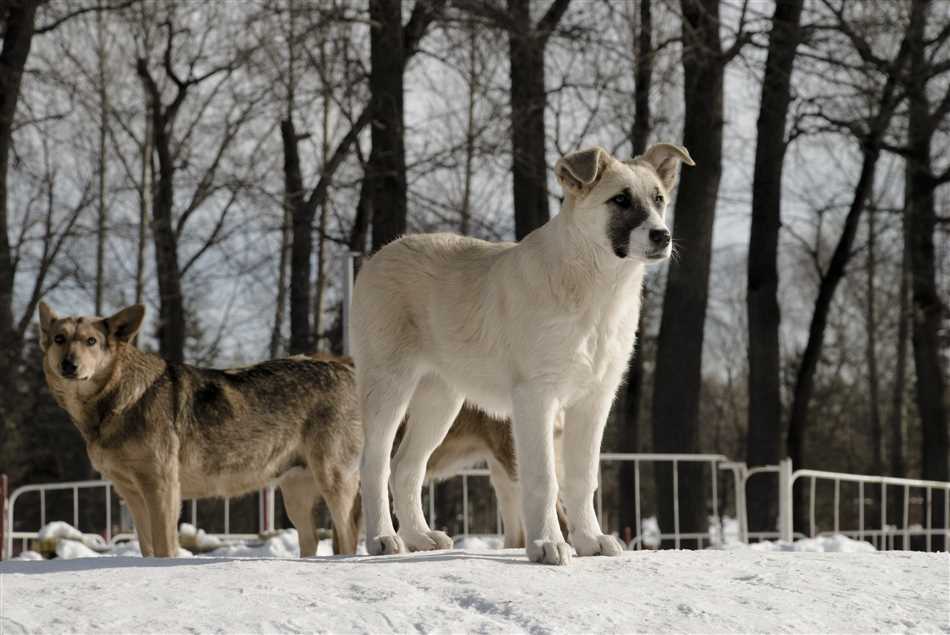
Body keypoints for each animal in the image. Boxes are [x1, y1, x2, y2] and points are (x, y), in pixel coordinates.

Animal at [354, 145, 696, 568]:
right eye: (620, 200)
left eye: (659, 199)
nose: (662, 236)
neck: (597, 289)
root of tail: (379, 255)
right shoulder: (536, 398)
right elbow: (544, 479)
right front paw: (546, 544)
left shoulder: (594, 401)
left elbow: (583, 478)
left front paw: (589, 540)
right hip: (389, 385)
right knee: (375, 463)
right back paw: (383, 538)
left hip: (441, 398)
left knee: (406, 466)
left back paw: (419, 536)